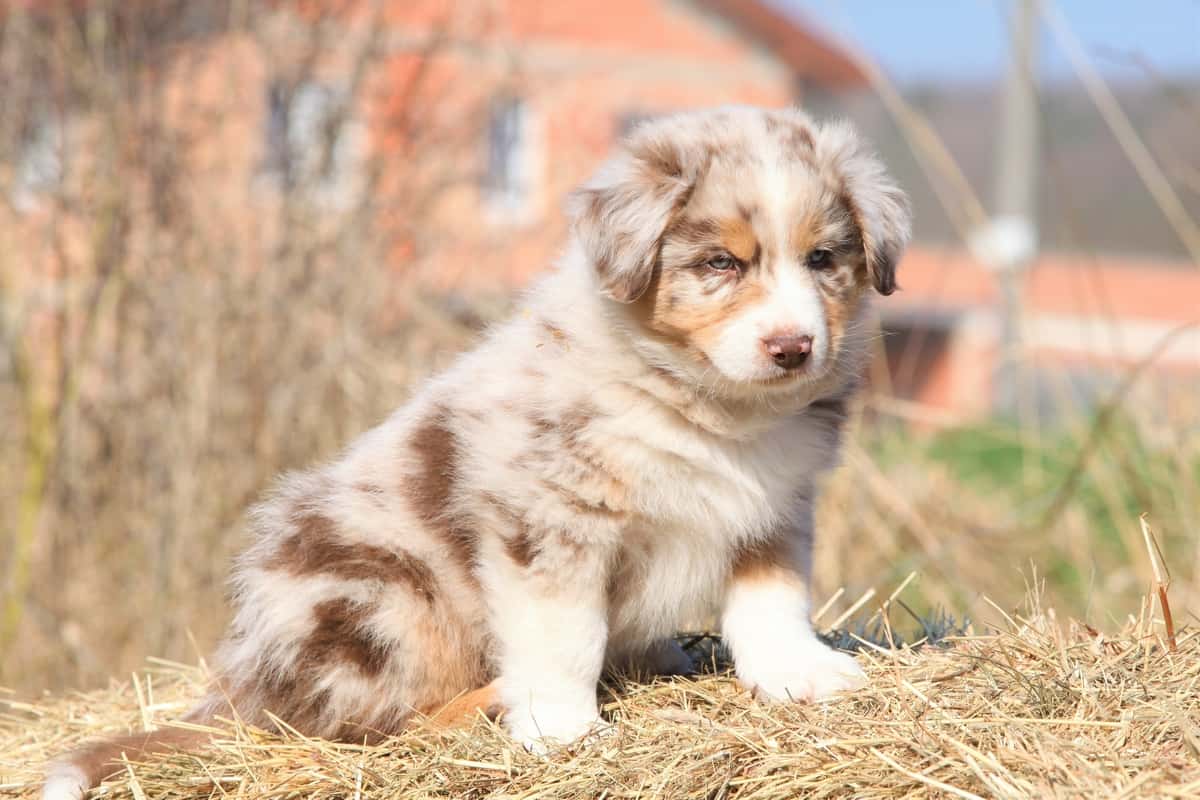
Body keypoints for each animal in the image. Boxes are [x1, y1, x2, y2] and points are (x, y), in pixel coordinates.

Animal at [46, 107, 907, 800]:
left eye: (824, 260)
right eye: (721, 263)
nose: (794, 347)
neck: (704, 406)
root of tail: (239, 690)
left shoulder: (777, 501)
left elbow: (771, 599)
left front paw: (799, 674)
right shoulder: (551, 519)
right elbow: (565, 636)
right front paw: (561, 728)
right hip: (383, 598)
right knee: (366, 722)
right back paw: (487, 701)